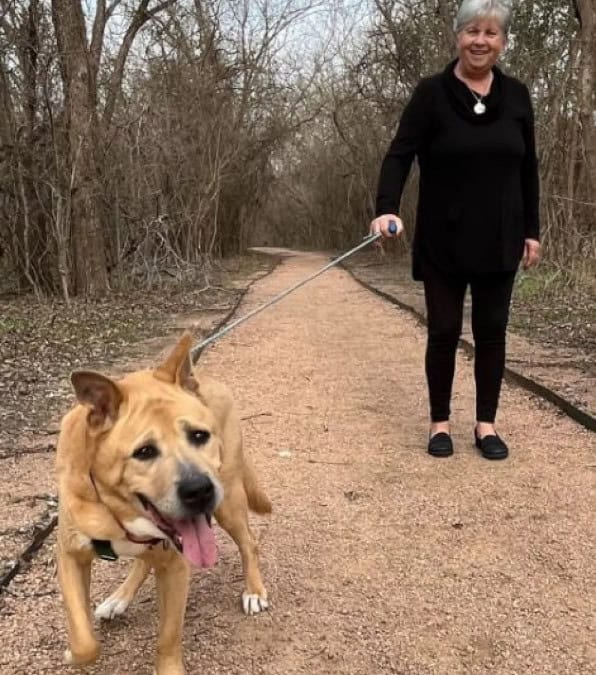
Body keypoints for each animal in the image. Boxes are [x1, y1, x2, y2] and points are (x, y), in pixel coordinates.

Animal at [56, 334, 270, 675]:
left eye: (199, 435)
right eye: (144, 452)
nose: (199, 490)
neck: (118, 511)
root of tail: (203, 380)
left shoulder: (176, 566)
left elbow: (168, 637)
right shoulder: (70, 556)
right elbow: (84, 641)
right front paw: (73, 653)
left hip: (229, 502)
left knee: (248, 542)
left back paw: (254, 590)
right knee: (144, 559)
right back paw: (118, 598)